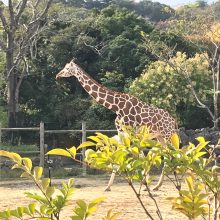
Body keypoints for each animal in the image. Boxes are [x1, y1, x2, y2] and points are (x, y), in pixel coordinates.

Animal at [55, 59, 177, 191]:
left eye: (67, 68)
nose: (58, 75)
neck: (116, 107)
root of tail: (173, 121)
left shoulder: (131, 133)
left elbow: (136, 156)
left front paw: (144, 184)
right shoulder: (122, 133)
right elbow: (124, 154)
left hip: (167, 135)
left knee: (174, 153)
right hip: (160, 136)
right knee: (167, 155)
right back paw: (158, 186)